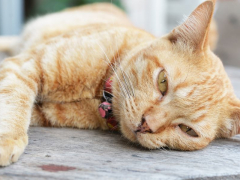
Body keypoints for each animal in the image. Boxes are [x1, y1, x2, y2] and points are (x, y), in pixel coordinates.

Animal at [0, 0, 238, 167]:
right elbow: (14, 101)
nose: (146, 125)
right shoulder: (24, 66)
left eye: (188, 130)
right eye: (163, 82)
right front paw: (7, 139)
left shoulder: (45, 111)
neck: (99, 91)